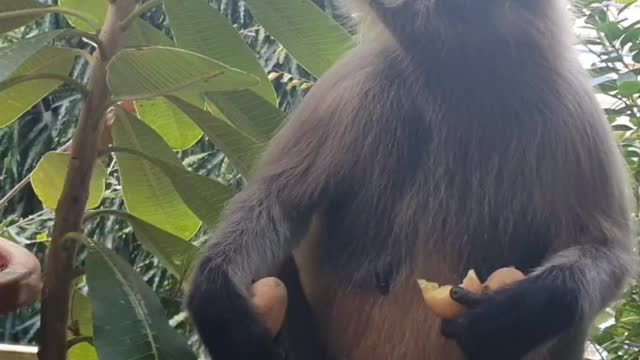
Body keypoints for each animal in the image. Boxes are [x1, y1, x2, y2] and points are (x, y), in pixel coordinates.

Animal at [184, 0, 636, 360]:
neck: (462, 72)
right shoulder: (362, 79)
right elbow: (277, 205)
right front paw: (215, 300)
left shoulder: (568, 104)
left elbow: (607, 251)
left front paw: (523, 312)